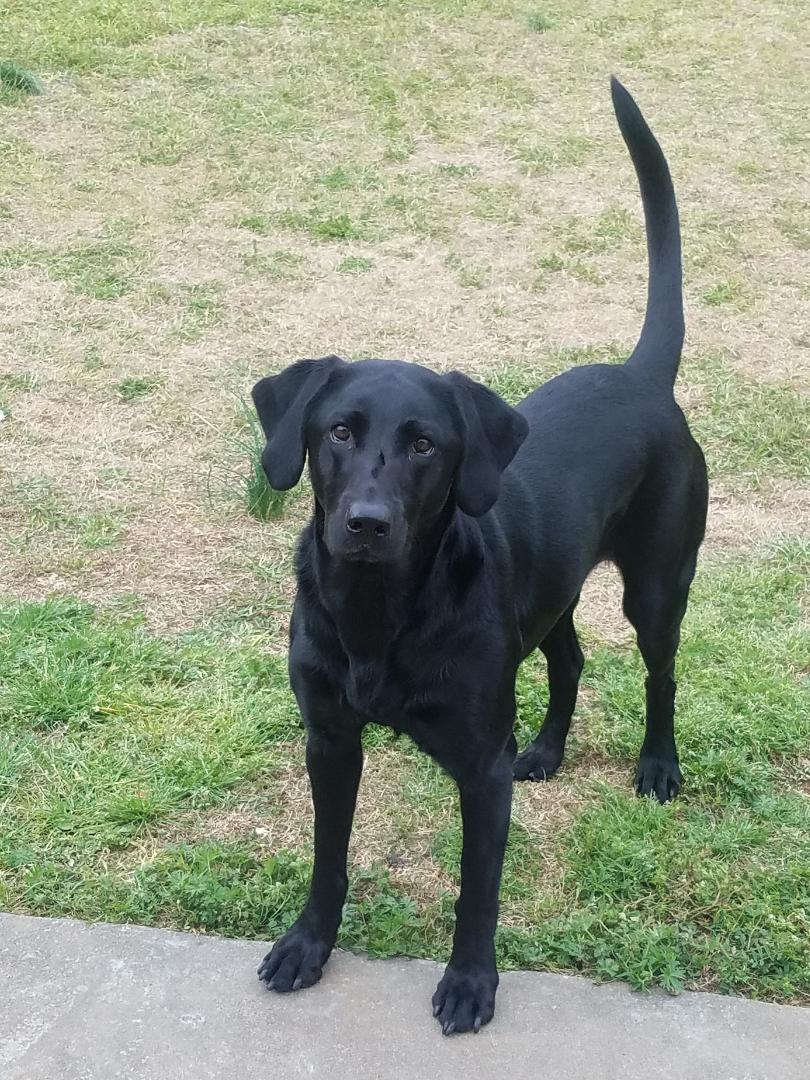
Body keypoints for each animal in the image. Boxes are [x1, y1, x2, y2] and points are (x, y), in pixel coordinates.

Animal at [253, 79, 708, 1032]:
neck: (379, 613)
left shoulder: (477, 770)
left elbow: (478, 889)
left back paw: (657, 765)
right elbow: (326, 858)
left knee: (660, 671)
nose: (368, 523)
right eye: (337, 432)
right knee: (569, 658)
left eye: (426, 444)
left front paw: (470, 982)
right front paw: (308, 945)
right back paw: (547, 749)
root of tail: (642, 376)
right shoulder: (329, 741)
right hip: (554, 593)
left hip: (657, 585)